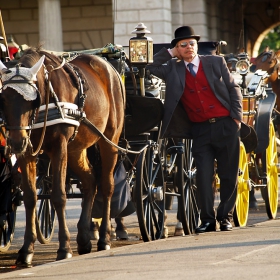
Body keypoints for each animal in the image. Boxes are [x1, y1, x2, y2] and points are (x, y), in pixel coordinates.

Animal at [0, 47, 124, 266]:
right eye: (4, 99)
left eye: (31, 100)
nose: (15, 142)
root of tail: (107, 66)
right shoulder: (27, 153)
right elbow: (30, 197)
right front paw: (26, 250)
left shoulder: (59, 147)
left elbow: (58, 195)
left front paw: (64, 247)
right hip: (76, 149)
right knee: (90, 182)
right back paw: (84, 238)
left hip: (109, 140)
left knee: (107, 186)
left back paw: (104, 238)